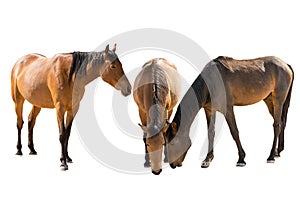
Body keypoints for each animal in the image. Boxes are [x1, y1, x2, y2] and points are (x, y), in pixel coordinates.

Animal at [164, 55, 292, 169]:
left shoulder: (228, 108)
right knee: (282, 122)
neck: (211, 82)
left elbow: (234, 131)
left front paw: (241, 159)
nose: (172, 164)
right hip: (269, 101)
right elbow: (211, 132)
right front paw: (208, 159)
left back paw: (271, 156)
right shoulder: (209, 109)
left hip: (278, 100)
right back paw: (278, 151)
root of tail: (286, 64)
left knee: (276, 125)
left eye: (173, 143)